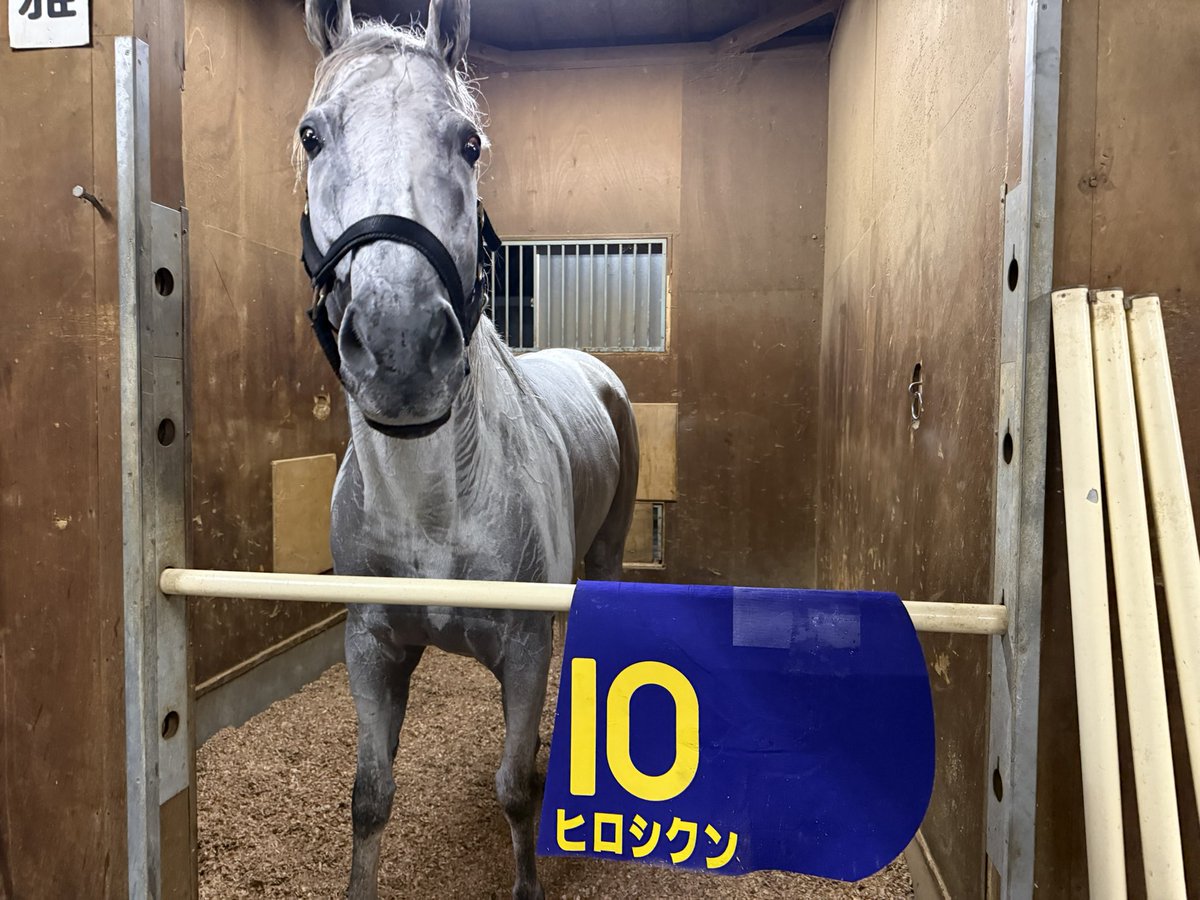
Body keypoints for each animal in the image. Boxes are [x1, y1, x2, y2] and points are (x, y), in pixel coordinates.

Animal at [296, 2, 640, 897]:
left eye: (470, 141)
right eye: (312, 135)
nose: (401, 346)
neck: (433, 503)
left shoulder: (523, 650)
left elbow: (514, 788)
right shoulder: (373, 646)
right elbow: (370, 795)